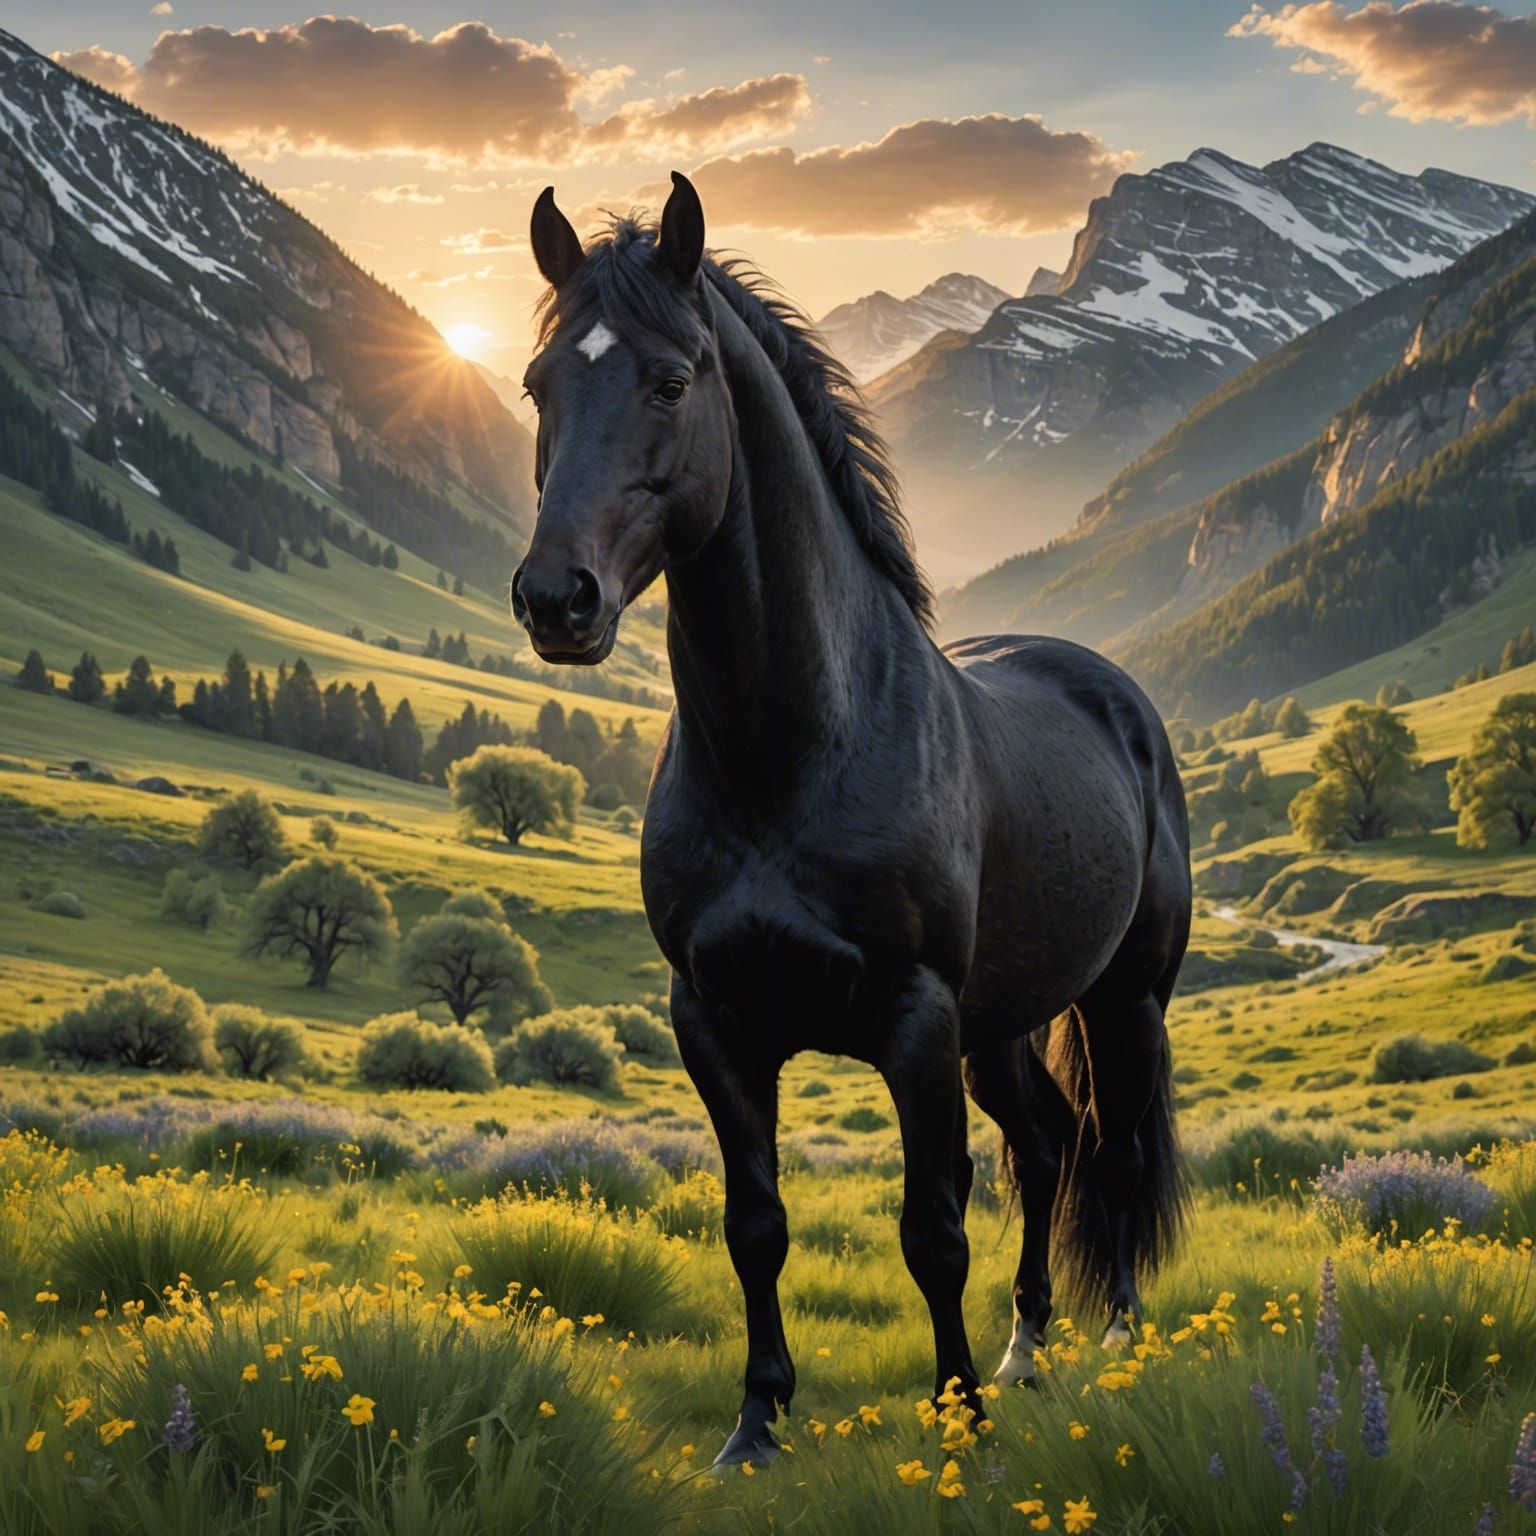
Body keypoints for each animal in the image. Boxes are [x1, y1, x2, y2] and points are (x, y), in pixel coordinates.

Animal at [510, 172, 1192, 1468]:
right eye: (538, 386)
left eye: (671, 380)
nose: (555, 599)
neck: (793, 754)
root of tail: (1115, 691)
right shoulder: (716, 1020)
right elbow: (756, 1223)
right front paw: (757, 1422)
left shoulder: (915, 1019)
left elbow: (933, 1229)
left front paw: (959, 1420)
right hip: (1003, 1024)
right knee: (1048, 1148)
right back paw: (1030, 1350)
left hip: (1122, 999)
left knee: (1117, 1152)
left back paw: (1120, 1339)